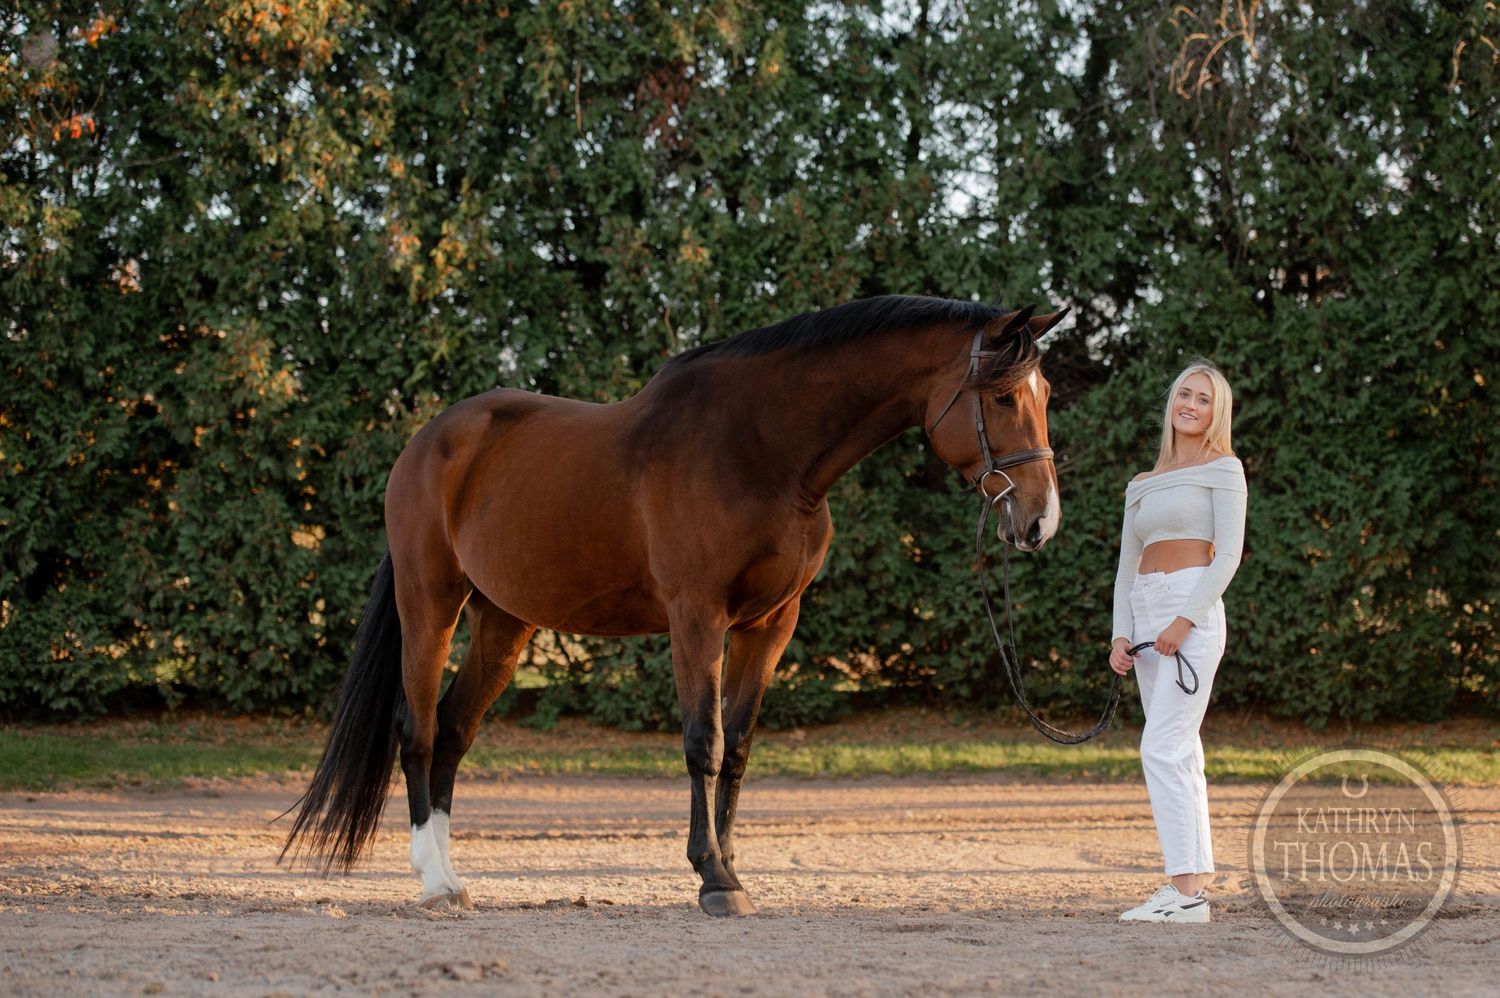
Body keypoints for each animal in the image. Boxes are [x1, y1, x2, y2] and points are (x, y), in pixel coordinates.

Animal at [281, 294, 1066, 916]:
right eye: (1003, 398)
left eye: (1047, 394)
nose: (1040, 521)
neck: (764, 450)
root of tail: (429, 442)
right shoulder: (697, 617)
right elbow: (703, 742)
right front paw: (713, 879)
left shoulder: (770, 625)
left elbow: (739, 747)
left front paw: (733, 867)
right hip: (430, 603)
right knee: (416, 731)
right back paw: (435, 884)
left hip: (504, 624)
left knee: (451, 731)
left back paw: (452, 875)